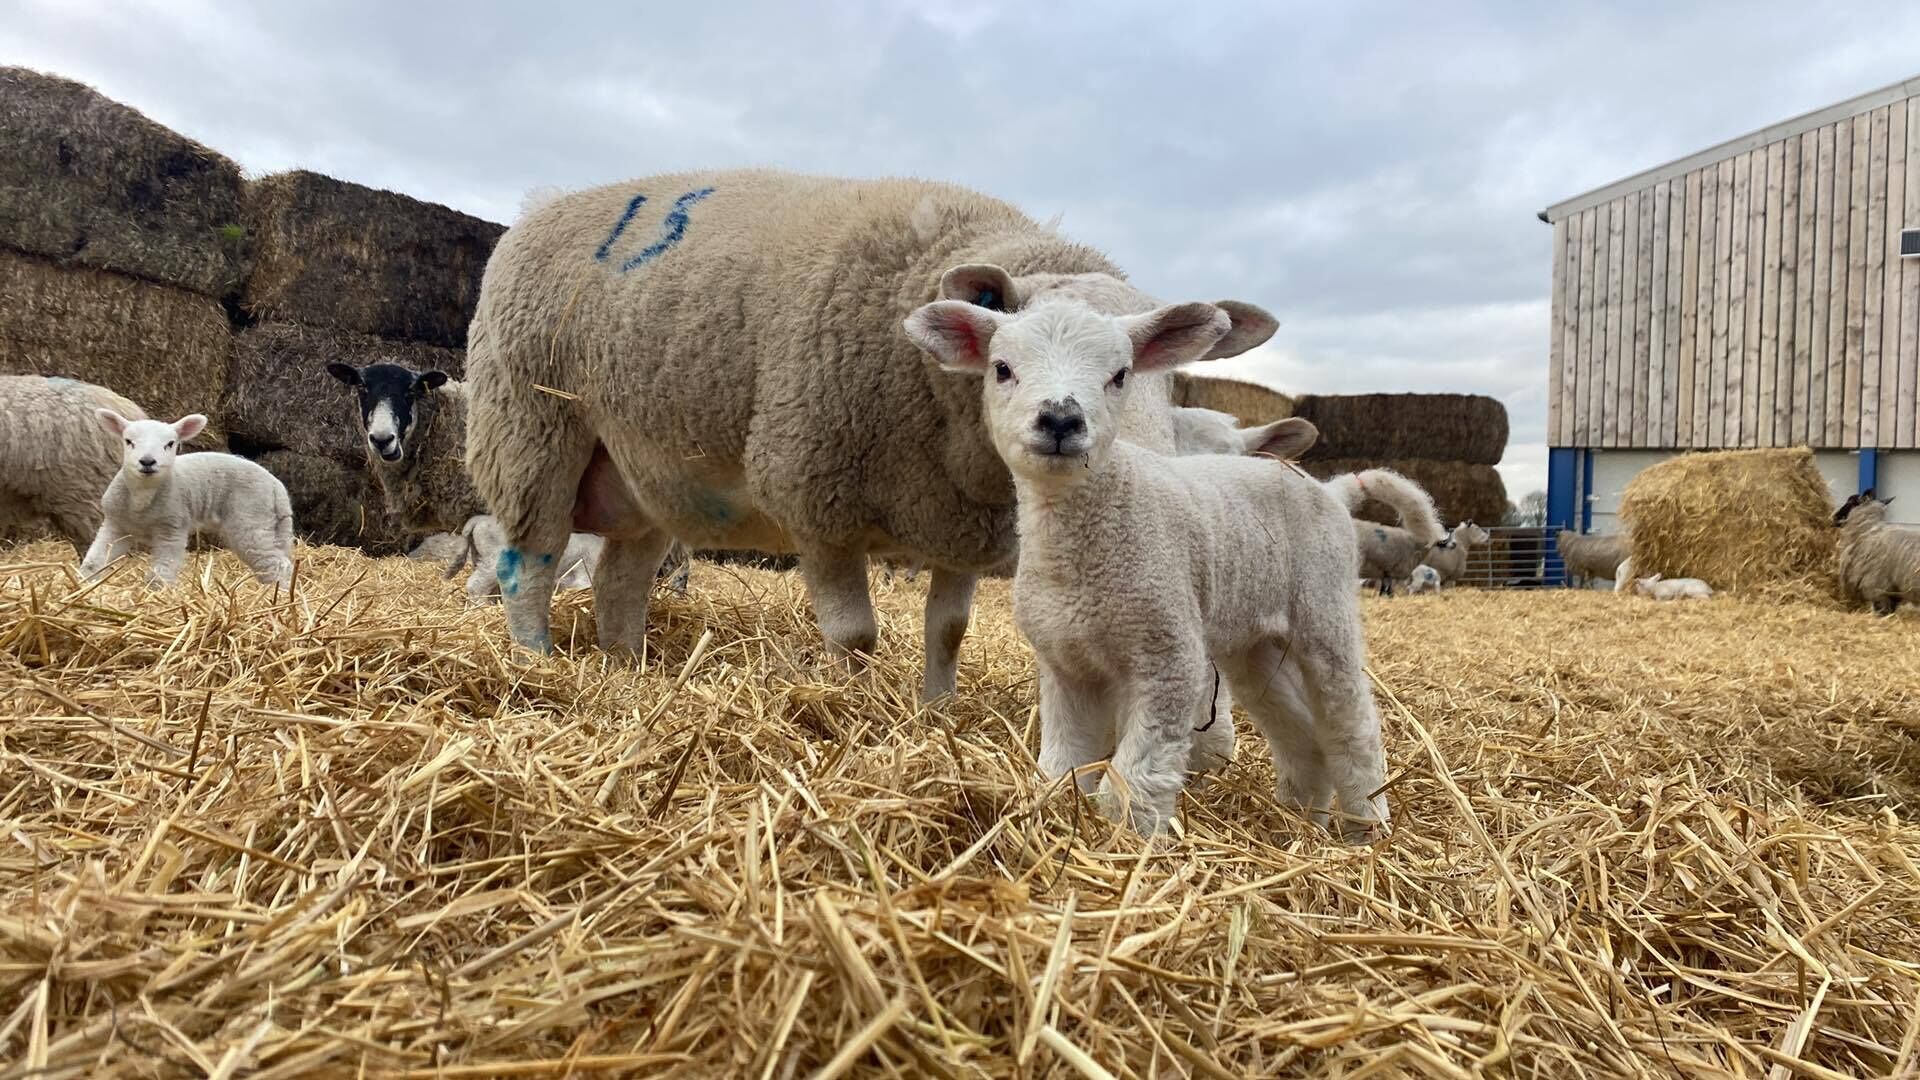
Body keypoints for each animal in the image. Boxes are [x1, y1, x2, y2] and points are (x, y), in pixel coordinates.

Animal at [80, 410, 294, 587]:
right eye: (128, 441)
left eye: (170, 444)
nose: (147, 462)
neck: (142, 498)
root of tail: (276, 485)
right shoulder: (116, 525)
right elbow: (94, 561)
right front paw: (82, 584)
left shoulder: (172, 528)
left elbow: (163, 570)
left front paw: (156, 592)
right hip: (272, 525)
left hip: (250, 519)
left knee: (276, 563)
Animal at [463, 168, 1278, 700]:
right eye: (1005, 361)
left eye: (1154, 368)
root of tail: (536, 213)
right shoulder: (812, 495)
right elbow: (854, 635)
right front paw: (855, 709)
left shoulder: (961, 525)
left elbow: (948, 631)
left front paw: (935, 713)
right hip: (532, 431)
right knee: (530, 562)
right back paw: (535, 664)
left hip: (650, 475)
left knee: (618, 579)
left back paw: (626, 670)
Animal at [903, 293, 1389, 842]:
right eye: (1002, 369)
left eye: (1120, 375)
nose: (1061, 421)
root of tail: (1328, 488)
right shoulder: (1065, 663)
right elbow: (1064, 761)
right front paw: (1055, 813)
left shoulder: (1168, 655)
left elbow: (1135, 776)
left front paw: (1126, 836)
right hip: (1255, 644)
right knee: (1299, 730)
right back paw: (1301, 821)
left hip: (1324, 612)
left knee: (1352, 723)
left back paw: (1366, 827)